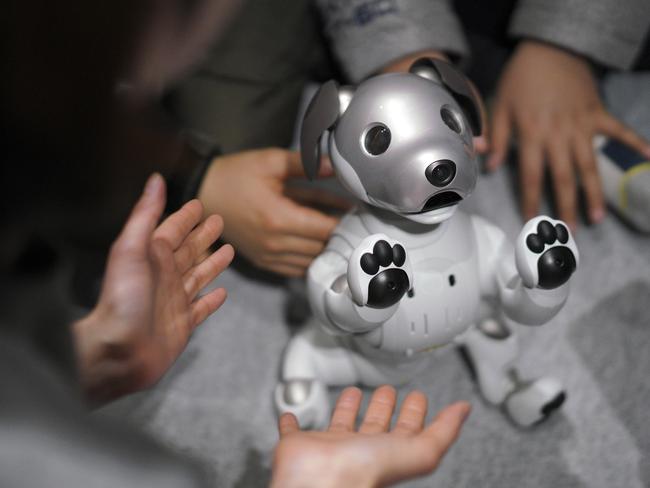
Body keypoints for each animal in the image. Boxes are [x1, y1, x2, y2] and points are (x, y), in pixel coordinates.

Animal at [270, 59, 576, 428]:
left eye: (451, 119)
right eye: (377, 138)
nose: (441, 169)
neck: (419, 233)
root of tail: (399, 377)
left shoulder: (484, 238)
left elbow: (513, 295)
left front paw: (548, 251)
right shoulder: (340, 248)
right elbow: (330, 298)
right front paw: (379, 273)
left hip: (480, 328)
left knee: (498, 347)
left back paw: (529, 395)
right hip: (334, 354)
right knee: (302, 366)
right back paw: (301, 409)